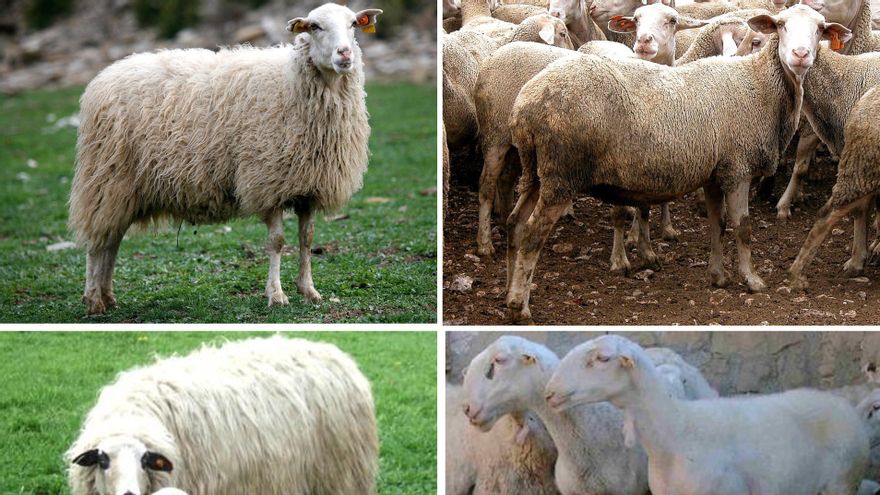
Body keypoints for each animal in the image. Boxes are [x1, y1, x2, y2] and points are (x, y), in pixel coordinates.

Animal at [67, 4, 381, 315]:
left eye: (353, 24)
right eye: (315, 26)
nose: (345, 54)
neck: (291, 82)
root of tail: (104, 76)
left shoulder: (309, 186)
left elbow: (307, 239)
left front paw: (309, 291)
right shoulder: (267, 181)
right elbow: (277, 242)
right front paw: (277, 295)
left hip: (124, 190)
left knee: (111, 241)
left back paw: (107, 297)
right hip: (106, 179)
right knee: (97, 243)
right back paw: (94, 300)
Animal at [503, 6, 851, 322]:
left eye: (820, 29)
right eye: (780, 25)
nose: (801, 55)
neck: (762, 85)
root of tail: (525, 103)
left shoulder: (715, 173)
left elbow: (717, 224)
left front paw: (718, 276)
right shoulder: (737, 169)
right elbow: (743, 228)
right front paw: (752, 280)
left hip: (536, 170)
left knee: (515, 223)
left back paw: (508, 292)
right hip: (560, 173)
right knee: (532, 233)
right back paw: (520, 307)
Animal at [788, 82, 880, 290]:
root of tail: (864, 100)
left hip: (865, 169)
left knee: (860, 210)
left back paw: (856, 262)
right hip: (860, 167)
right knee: (827, 216)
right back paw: (796, 274)